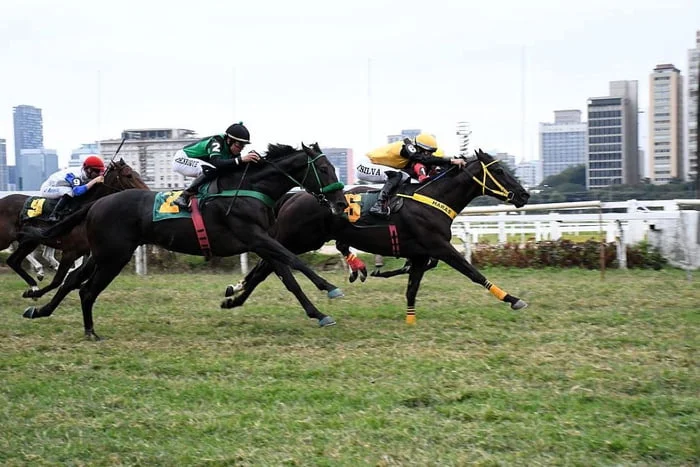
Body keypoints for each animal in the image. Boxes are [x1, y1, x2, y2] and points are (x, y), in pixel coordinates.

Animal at [0, 159, 149, 300]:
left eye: (137, 173)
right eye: (129, 175)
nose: (147, 192)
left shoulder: (88, 251)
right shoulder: (70, 251)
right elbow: (59, 279)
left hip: (30, 241)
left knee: (13, 261)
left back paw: (35, 284)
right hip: (9, 239)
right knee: (68, 192)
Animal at [21, 143, 350, 340]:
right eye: (323, 169)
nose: (339, 203)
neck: (250, 188)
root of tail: (96, 203)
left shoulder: (260, 242)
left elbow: (285, 278)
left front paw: (318, 314)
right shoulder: (255, 236)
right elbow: (292, 261)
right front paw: (329, 288)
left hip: (103, 253)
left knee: (73, 279)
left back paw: (40, 310)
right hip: (114, 255)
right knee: (86, 289)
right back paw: (89, 331)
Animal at [224, 150, 532, 326]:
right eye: (500, 171)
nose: (524, 194)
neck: (433, 199)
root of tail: (293, 196)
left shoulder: (421, 253)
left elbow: (412, 287)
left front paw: (410, 319)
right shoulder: (440, 246)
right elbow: (473, 272)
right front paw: (512, 298)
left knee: (267, 268)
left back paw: (234, 298)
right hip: (297, 239)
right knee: (269, 267)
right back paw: (237, 294)